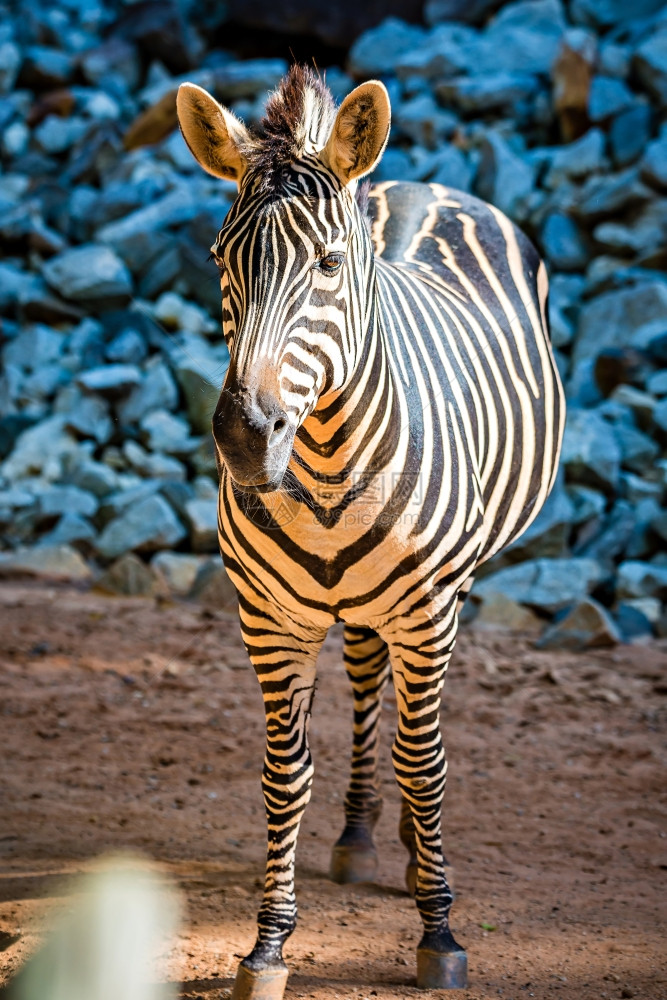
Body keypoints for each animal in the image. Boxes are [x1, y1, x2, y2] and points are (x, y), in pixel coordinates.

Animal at [176, 64, 564, 1000]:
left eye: (327, 264)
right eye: (220, 261)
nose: (245, 437)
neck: (321, 470)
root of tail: (426, 187)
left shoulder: (427, 611)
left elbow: (425, 764)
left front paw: (439, 929)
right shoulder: (269, 618)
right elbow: (286, 773)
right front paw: (268, 945)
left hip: (443, 593)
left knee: (415, 729)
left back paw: (417, 853)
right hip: (353, 605)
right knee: (362, 678)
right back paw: (359, 836)